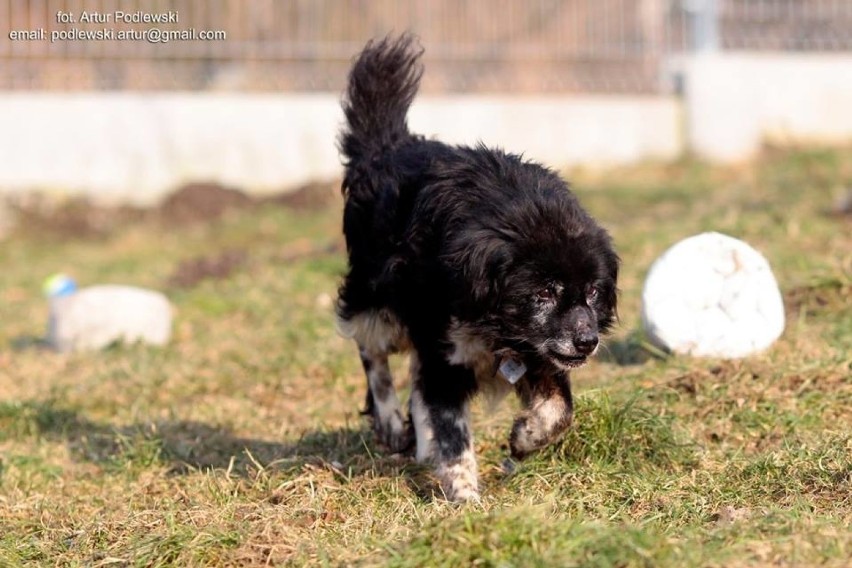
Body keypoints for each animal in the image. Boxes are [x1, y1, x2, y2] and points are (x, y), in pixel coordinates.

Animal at [334, 34, 620, 502]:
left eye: (593, 292)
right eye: (543, 293)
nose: (587, 341)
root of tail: (389, 147)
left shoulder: (535, 352)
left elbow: (560, 411)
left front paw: (523, 438)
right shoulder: (446, 353)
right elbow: (453, 430)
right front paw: (465, 495)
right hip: (376, 298)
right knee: (371, 352)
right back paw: (392, 424)